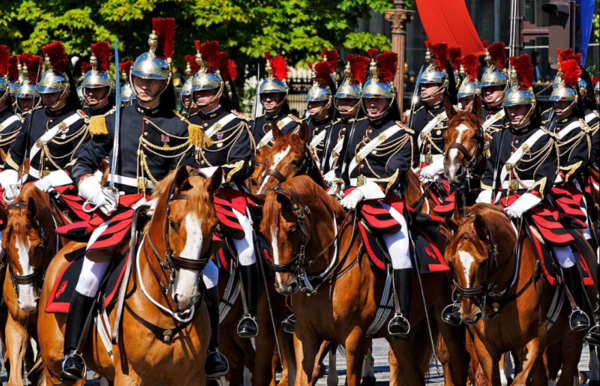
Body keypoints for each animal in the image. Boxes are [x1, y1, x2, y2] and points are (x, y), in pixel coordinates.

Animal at [35, 167, 218, 386]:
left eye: (214, 227)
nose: (185, 295)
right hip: (55, 371)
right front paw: (106, 199)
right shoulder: (129, 375)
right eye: (173, 224)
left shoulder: (193, 377)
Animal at [262, 176, 468, 386]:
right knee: (414, 374)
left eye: (292, 230)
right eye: (263, 232)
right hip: (400, 338)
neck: (325, 275)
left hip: (447, 323)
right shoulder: (305, 335)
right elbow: (303, 378)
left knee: (456, 361)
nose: (284, 285)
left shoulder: (354, 335)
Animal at [446, 204, 596, 384]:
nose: (469, 314)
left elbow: (518, 381)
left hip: (574, 337)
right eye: (451, 262)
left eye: (483, 262)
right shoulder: (485, 350)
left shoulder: (532, 343)